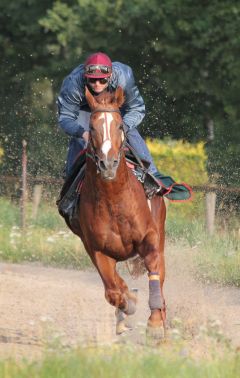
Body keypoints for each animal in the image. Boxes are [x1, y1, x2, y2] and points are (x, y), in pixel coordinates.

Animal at [70, 86, 166, 336]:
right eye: (92, 127)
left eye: (120, 126)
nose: (108, 164)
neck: (114, 200)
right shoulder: (96, 249)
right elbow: (113, 291)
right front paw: (129, 305)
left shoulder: (149, 237)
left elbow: (154, 269)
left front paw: (154, 322)